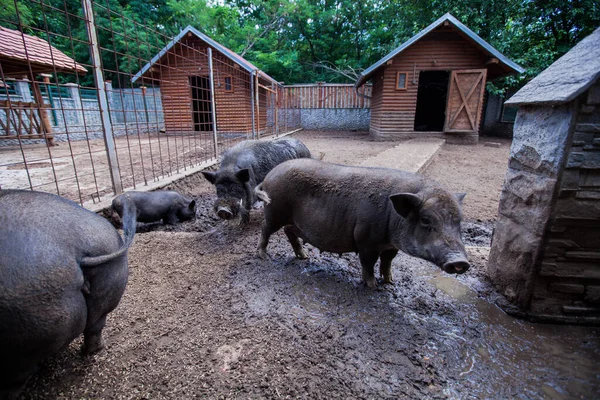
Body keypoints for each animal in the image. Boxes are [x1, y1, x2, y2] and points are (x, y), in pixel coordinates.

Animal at [0, 190, 136, 396]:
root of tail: (76, 254)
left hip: (22, 344)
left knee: (15, 380)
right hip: (111, 279)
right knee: (95, 327)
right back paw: (88, 351)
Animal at [253, 159, 468, 288]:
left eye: (459, 220)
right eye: (426, 219)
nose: (461, 262)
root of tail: (269, 175)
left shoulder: (391, 246)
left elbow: (387, 261)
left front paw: (390, 282)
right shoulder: (366, 240)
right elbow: (368, 262)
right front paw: (372, 286)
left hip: (291, 220)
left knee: (289, 231)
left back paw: (304, 256)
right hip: (274, 211)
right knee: (266, 229)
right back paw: (263, 256)